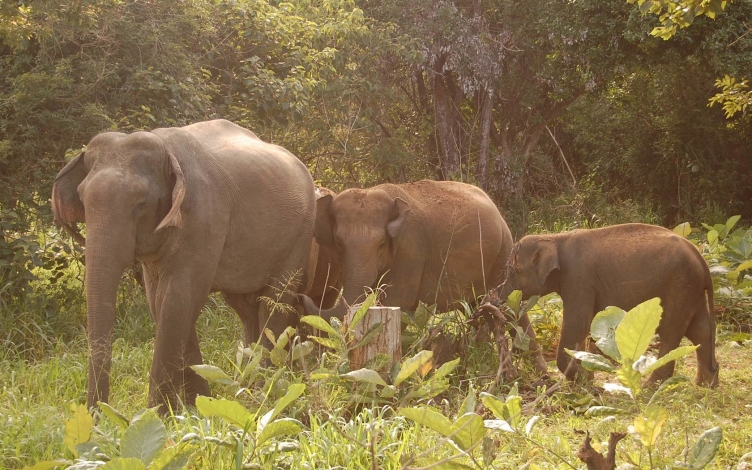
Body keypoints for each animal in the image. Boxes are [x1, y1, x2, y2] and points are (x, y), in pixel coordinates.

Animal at [51, 119, 316, 412]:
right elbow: (162, 302)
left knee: (275, 302)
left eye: (140, 204)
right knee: (246, 309)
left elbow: (177, 299)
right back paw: (246, 388)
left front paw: (157, 414)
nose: (98, 415)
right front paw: (197, 406)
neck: (167, 150)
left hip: (301, 233)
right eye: (82, 200)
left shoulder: (204, 218)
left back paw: (261, 394)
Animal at [298, 180, 547, 372]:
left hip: (503, 254)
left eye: (381, 243)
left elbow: (397, 301)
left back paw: (540, 372)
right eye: (339, 243)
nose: (303, 297)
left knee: (512, 307)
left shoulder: (410, 249)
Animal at [510, 223, 719, 386]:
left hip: (680, 285)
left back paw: (651, 386)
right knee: (700, 330)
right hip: (692, 289)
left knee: (671, 331)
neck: (556, 238)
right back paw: (706, 384)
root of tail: (700, 257)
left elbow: (579, 324)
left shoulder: (579, 279)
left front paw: (585, 381)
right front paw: (586, 379)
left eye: (513, 269)